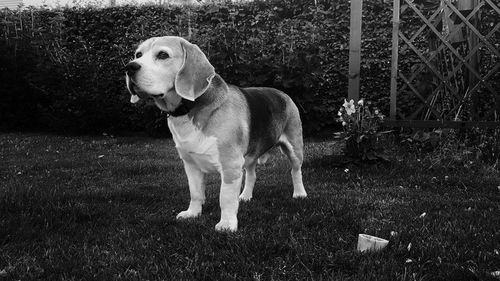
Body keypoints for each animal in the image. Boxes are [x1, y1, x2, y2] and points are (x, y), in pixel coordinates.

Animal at [126, 36, 304, 231]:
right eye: (138, 54)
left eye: (163, 55)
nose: (129, 67)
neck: (190, 108)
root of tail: (282, 93)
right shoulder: (191, 164)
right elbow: (195, 193)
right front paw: (192, 213)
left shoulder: (230, 165)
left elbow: (225, 198)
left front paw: (226, 224)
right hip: (251, 154)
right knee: (252, 174)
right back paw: (246, 196)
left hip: (295, 148)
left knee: (295, 171)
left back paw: (299, 194)